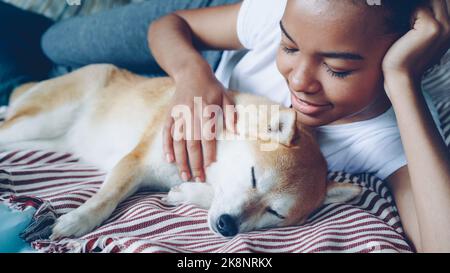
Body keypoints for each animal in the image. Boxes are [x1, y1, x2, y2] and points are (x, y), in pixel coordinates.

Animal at [0, 64, 360, 238]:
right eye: (254, 177)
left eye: (275, 213)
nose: (228, 226)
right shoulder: (136, 162)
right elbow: (107, 198)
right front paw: (78, 219)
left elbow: (206, 195)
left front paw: (186, 193)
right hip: (39, 121)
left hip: (45, 141)